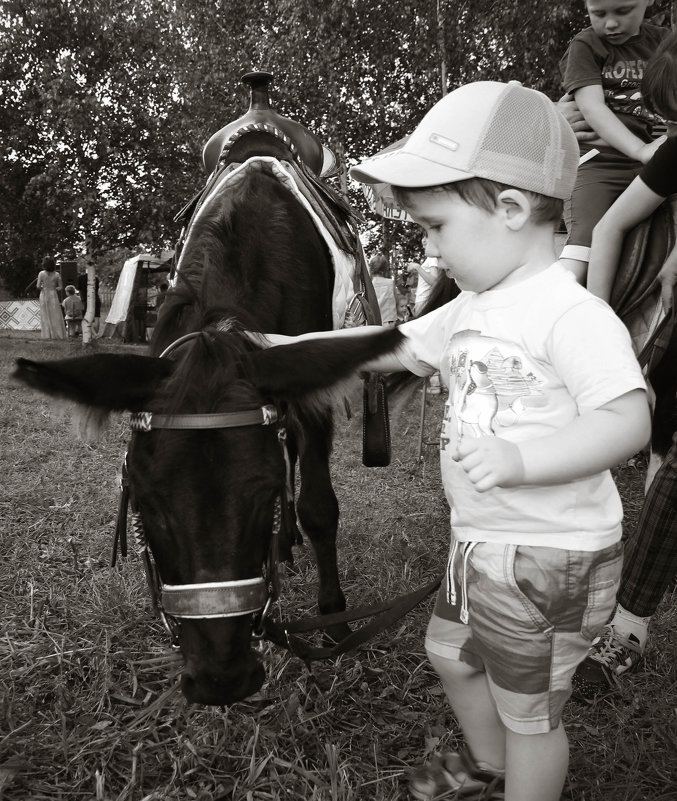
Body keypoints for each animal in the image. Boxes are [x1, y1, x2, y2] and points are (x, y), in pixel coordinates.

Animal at [14, 73, 402, 700]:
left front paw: (334, 615)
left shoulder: (310, 383)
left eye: (264, 493)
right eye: (145, 503)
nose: (221, 678)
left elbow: (318, 504)